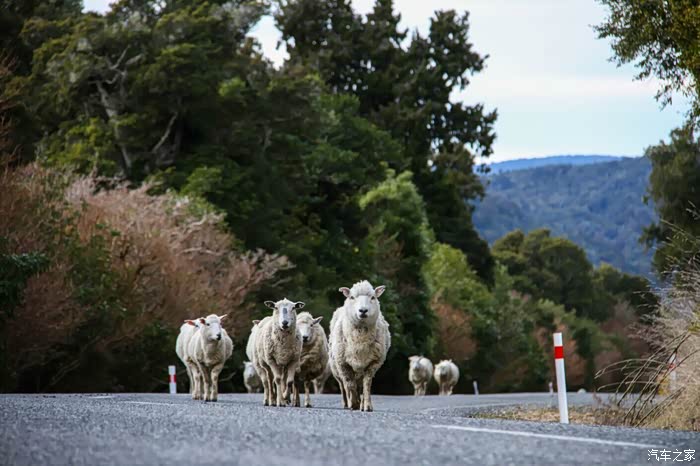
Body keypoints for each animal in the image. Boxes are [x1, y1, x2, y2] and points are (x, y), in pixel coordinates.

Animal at [329, 280, 390, 412]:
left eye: (373, 297)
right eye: (352, 297)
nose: (363, 310)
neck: (360, 339)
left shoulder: (373, 363)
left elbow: (367, 385)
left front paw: (366, 406)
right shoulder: (343, 364)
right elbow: (349, 384)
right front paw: (354, 404)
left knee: (360, 385)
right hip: (336, 367)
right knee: (343, 386)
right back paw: (347, 403)